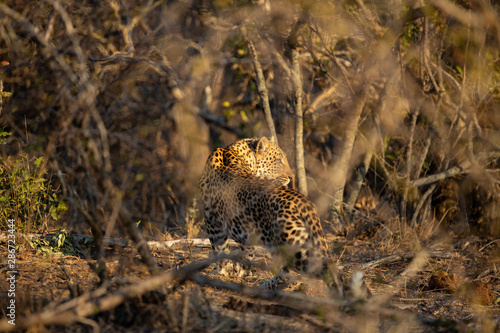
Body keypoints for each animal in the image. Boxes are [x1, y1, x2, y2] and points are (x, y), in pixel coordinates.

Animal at [197, 137, 366, 296]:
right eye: (279, 161)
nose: (292, 176)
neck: (234, 151)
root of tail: (304, 202)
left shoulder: (212, 220)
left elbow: (219, 248)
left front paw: (220, 271)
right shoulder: (244, 230)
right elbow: (246, 251)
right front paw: (243, 271)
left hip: (289, 242)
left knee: (304, 271)